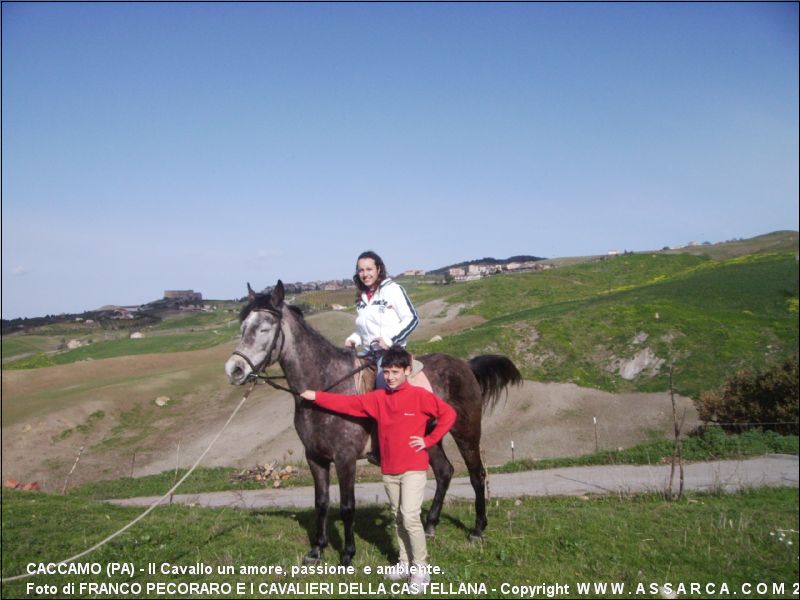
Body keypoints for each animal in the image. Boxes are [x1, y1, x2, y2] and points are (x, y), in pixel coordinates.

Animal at [222, 278, 520, 564]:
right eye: (243, 326)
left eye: (264, 328)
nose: (234, 369)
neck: (325, 385)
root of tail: (465, 366)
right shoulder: (315, 458)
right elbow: (321, 502)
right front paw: (317, 549)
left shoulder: (345, 458)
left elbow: (347, 506)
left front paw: (347, 554)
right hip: (428, 439)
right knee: (445, 472)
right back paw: (430, 526)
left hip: (466, 432)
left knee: (476, 474)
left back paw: (478, 529)